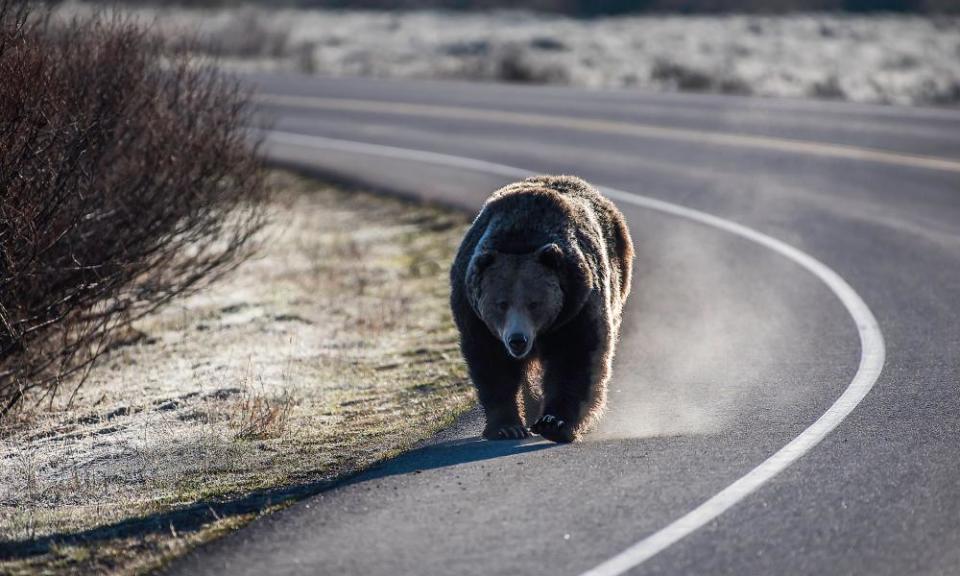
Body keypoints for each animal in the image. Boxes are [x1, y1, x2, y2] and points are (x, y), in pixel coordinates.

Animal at [448, 173, 632, 444]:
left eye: (534, 303)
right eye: (501, 304)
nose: (517, 340)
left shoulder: (577, 307)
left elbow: (576, 358)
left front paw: (555, 422)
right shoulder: (475, 317)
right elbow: (491, 366)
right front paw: (507, 427)